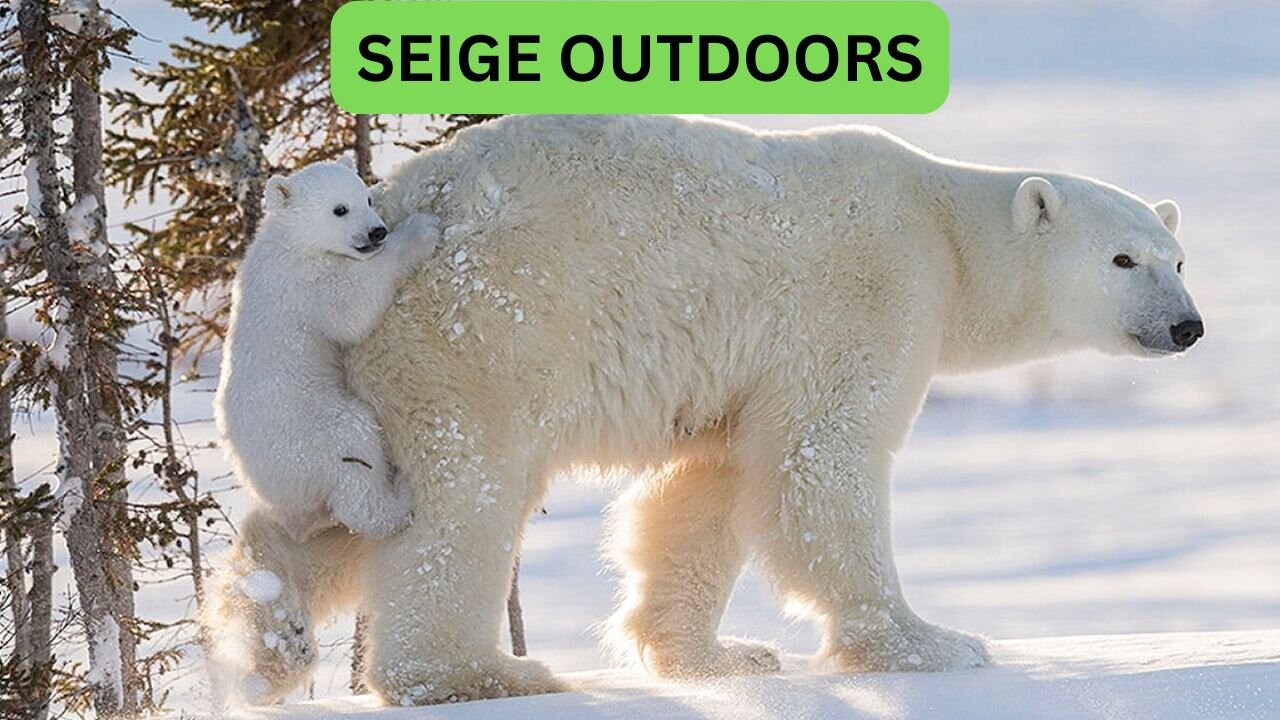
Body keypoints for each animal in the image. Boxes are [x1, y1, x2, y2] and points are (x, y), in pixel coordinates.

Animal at [213, 160, 441, 542]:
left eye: (366, 197)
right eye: (340, 209)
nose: (377, 232)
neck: (290, 242)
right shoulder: (304, 285)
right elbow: (352, 307)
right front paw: (421, 229)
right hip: (312, 433)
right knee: (354, 450)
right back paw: (400, 496)